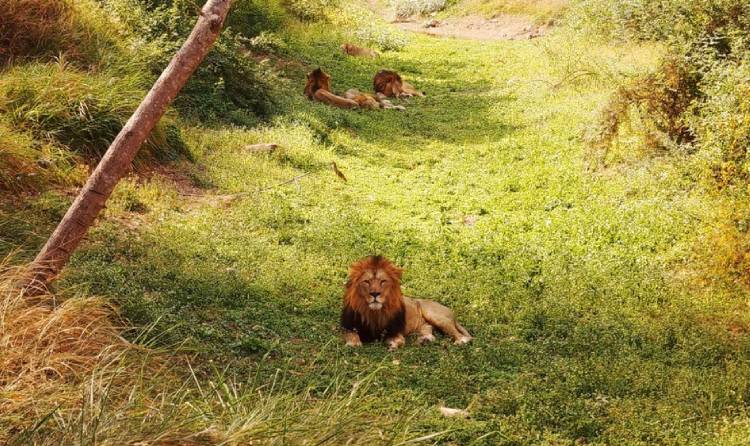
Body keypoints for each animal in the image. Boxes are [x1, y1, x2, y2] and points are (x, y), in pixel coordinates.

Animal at [342, 256, 472, 350]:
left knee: (459, 334)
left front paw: (392, 344)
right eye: (366, 282)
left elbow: (400, 341)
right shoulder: (348, 327)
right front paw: (353, 344)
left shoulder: (396, 331)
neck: (373, 312)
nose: (375, 293)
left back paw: (460, 341)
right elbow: (351, 334)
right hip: (424, 325)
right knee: (430, 332)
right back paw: (424, 340)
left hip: (434, 314)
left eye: (383, 281)